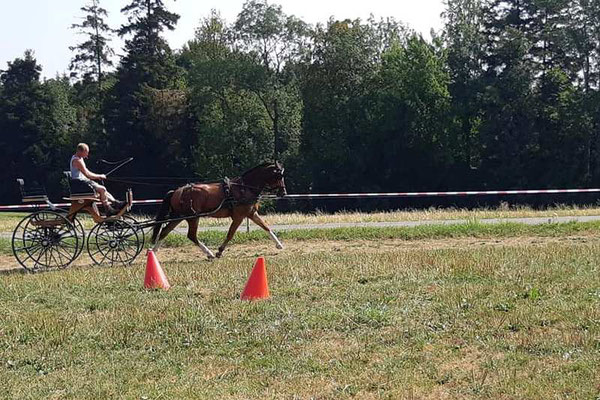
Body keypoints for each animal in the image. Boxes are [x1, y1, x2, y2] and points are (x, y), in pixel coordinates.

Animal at [152, 162, 288, 260]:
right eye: (279, 176)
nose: (283, 192)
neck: (244, 188)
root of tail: (177, 191)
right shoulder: (238, 217)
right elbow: (230, 234)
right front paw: (219, 251)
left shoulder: (251, 213)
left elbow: (266, 227)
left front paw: (279, 244)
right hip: (193, 217)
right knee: (191, 235)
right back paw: (209, 253)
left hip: (179, 216)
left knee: (165, 231)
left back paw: (153, 251)